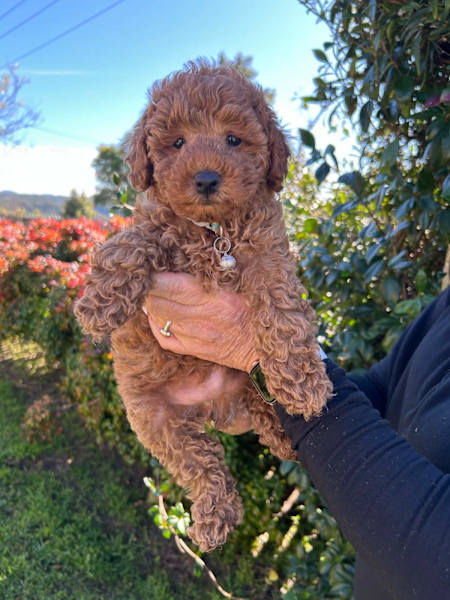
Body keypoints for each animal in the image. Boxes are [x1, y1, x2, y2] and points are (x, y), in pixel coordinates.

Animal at [74, 60, 332, 552]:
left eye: (233, 139)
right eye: (177, 143)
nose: (208, 179)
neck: (216, 232)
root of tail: (212, 410)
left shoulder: (269, 254)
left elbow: (283, 312)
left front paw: (302, 382)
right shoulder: (157, 225)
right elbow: (131, 242)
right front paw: (99, 301)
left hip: (242, 388)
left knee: (256, 413)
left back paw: (283, 435)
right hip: (155, 421)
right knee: (201, 462)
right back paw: (215, 514)